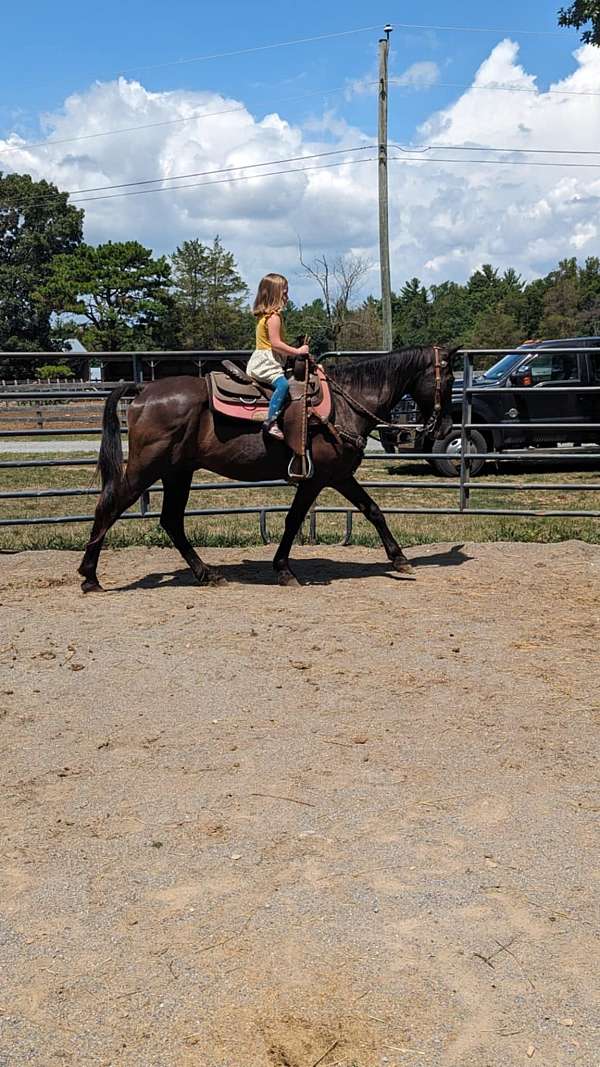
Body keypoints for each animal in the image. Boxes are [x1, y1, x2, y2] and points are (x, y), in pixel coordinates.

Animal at [76, 345, 450, 588]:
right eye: (446, 378)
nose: (443, 428)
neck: (344, 405)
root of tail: (143, 389)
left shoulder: (340, 476)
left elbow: (373, 510)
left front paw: (400, 559)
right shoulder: (317, 479)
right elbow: (293, 520)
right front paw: (284, 570)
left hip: (177, 473)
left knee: (171, 521)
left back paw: (207, 574)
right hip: (146, 469)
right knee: (109, 507)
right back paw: (89, 576)